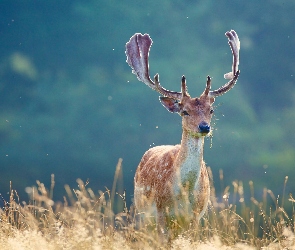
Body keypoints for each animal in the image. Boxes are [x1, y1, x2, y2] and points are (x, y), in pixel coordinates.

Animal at [125, 29, 240, 234]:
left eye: (211, 110)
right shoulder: (160, 213)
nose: (204, 127)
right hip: (141, 213)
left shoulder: (195, 216)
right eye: (185, 111)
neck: (183, 193)